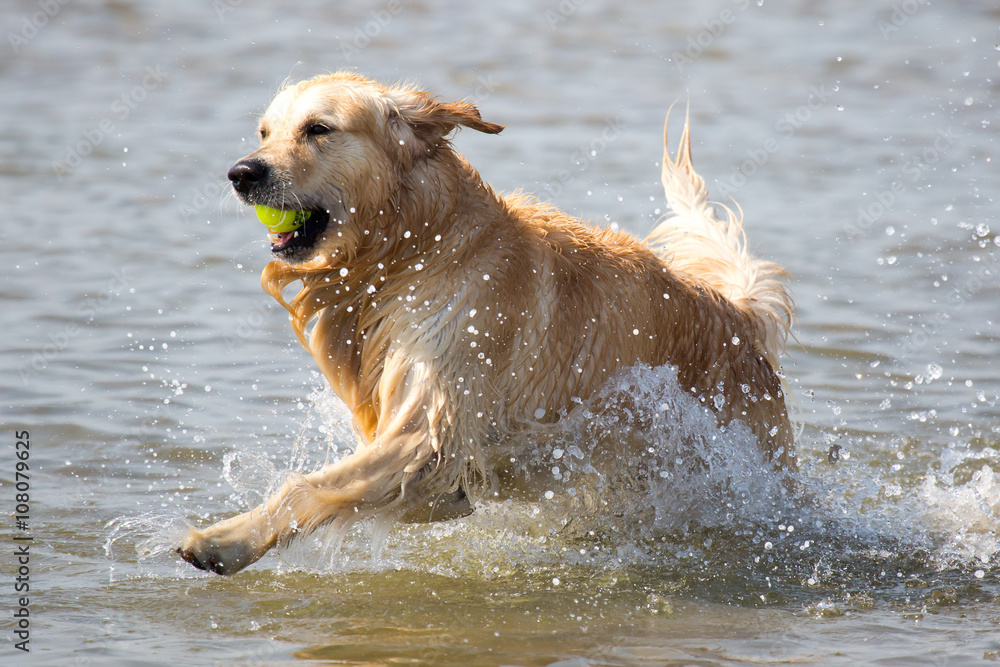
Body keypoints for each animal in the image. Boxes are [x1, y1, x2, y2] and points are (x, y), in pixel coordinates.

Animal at [176, 72, 792, 576]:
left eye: (318, 128)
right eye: (264, 132)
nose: (240, 173)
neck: (415, 250)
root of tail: (736, 313)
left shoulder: (431, 425)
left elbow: (306, 488)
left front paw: (222, 541)